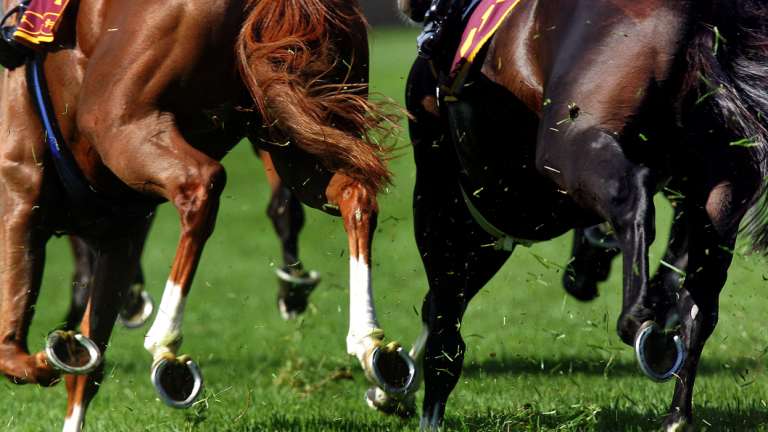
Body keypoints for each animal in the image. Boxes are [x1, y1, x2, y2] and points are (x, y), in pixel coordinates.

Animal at [0, 0, 414, 428]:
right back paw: (374, 350)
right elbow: (89, 360)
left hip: (122, 125)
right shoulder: (121, 232)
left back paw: (165, 347)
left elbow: (12, 354)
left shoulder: (20, 194)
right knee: (354, 192)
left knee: (200, 184)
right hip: (294, 132)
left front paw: (57, 353)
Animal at [402, 0, 768, 428]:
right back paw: (676, 411)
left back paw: (641, 319)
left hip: (567, 146)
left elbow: (443, 310)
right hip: (723, 185)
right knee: (700, 302)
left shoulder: (452, 198)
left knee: (631, 197)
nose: (580, 279)